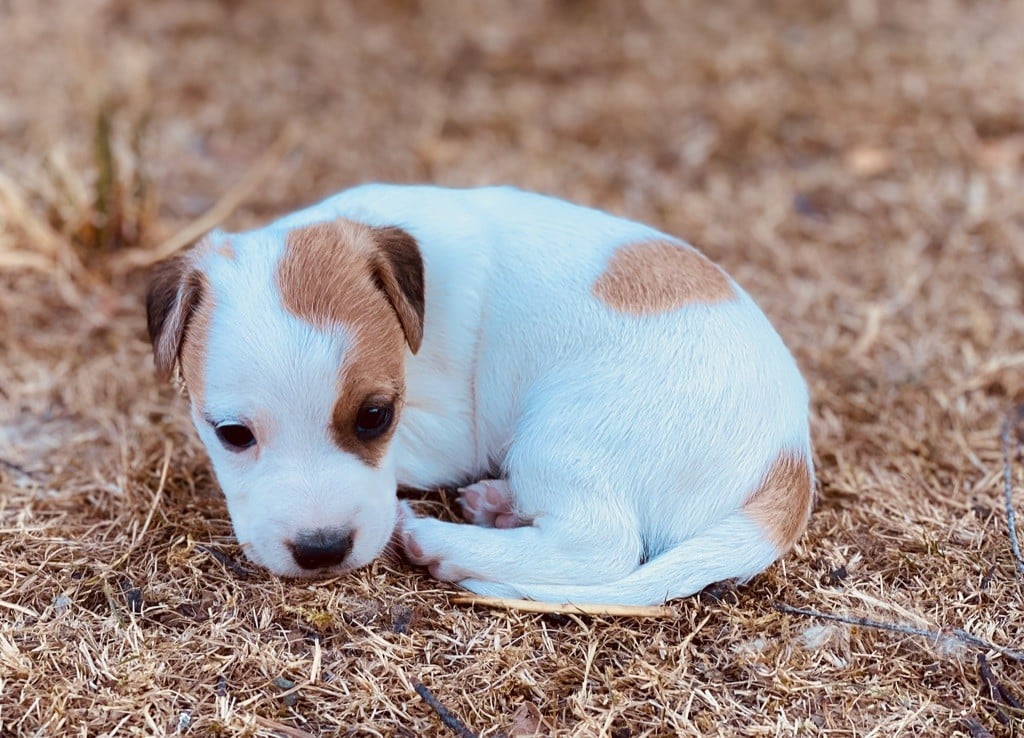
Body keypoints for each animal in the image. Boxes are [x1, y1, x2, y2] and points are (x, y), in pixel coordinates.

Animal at [146, 184, 815, 605]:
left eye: (375, 417)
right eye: (233, 435)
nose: (322, 550)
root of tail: (791, 459)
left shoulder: (447, 433)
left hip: (563, 434)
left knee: (599, 544)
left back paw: (443, 540)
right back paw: (499, 504)